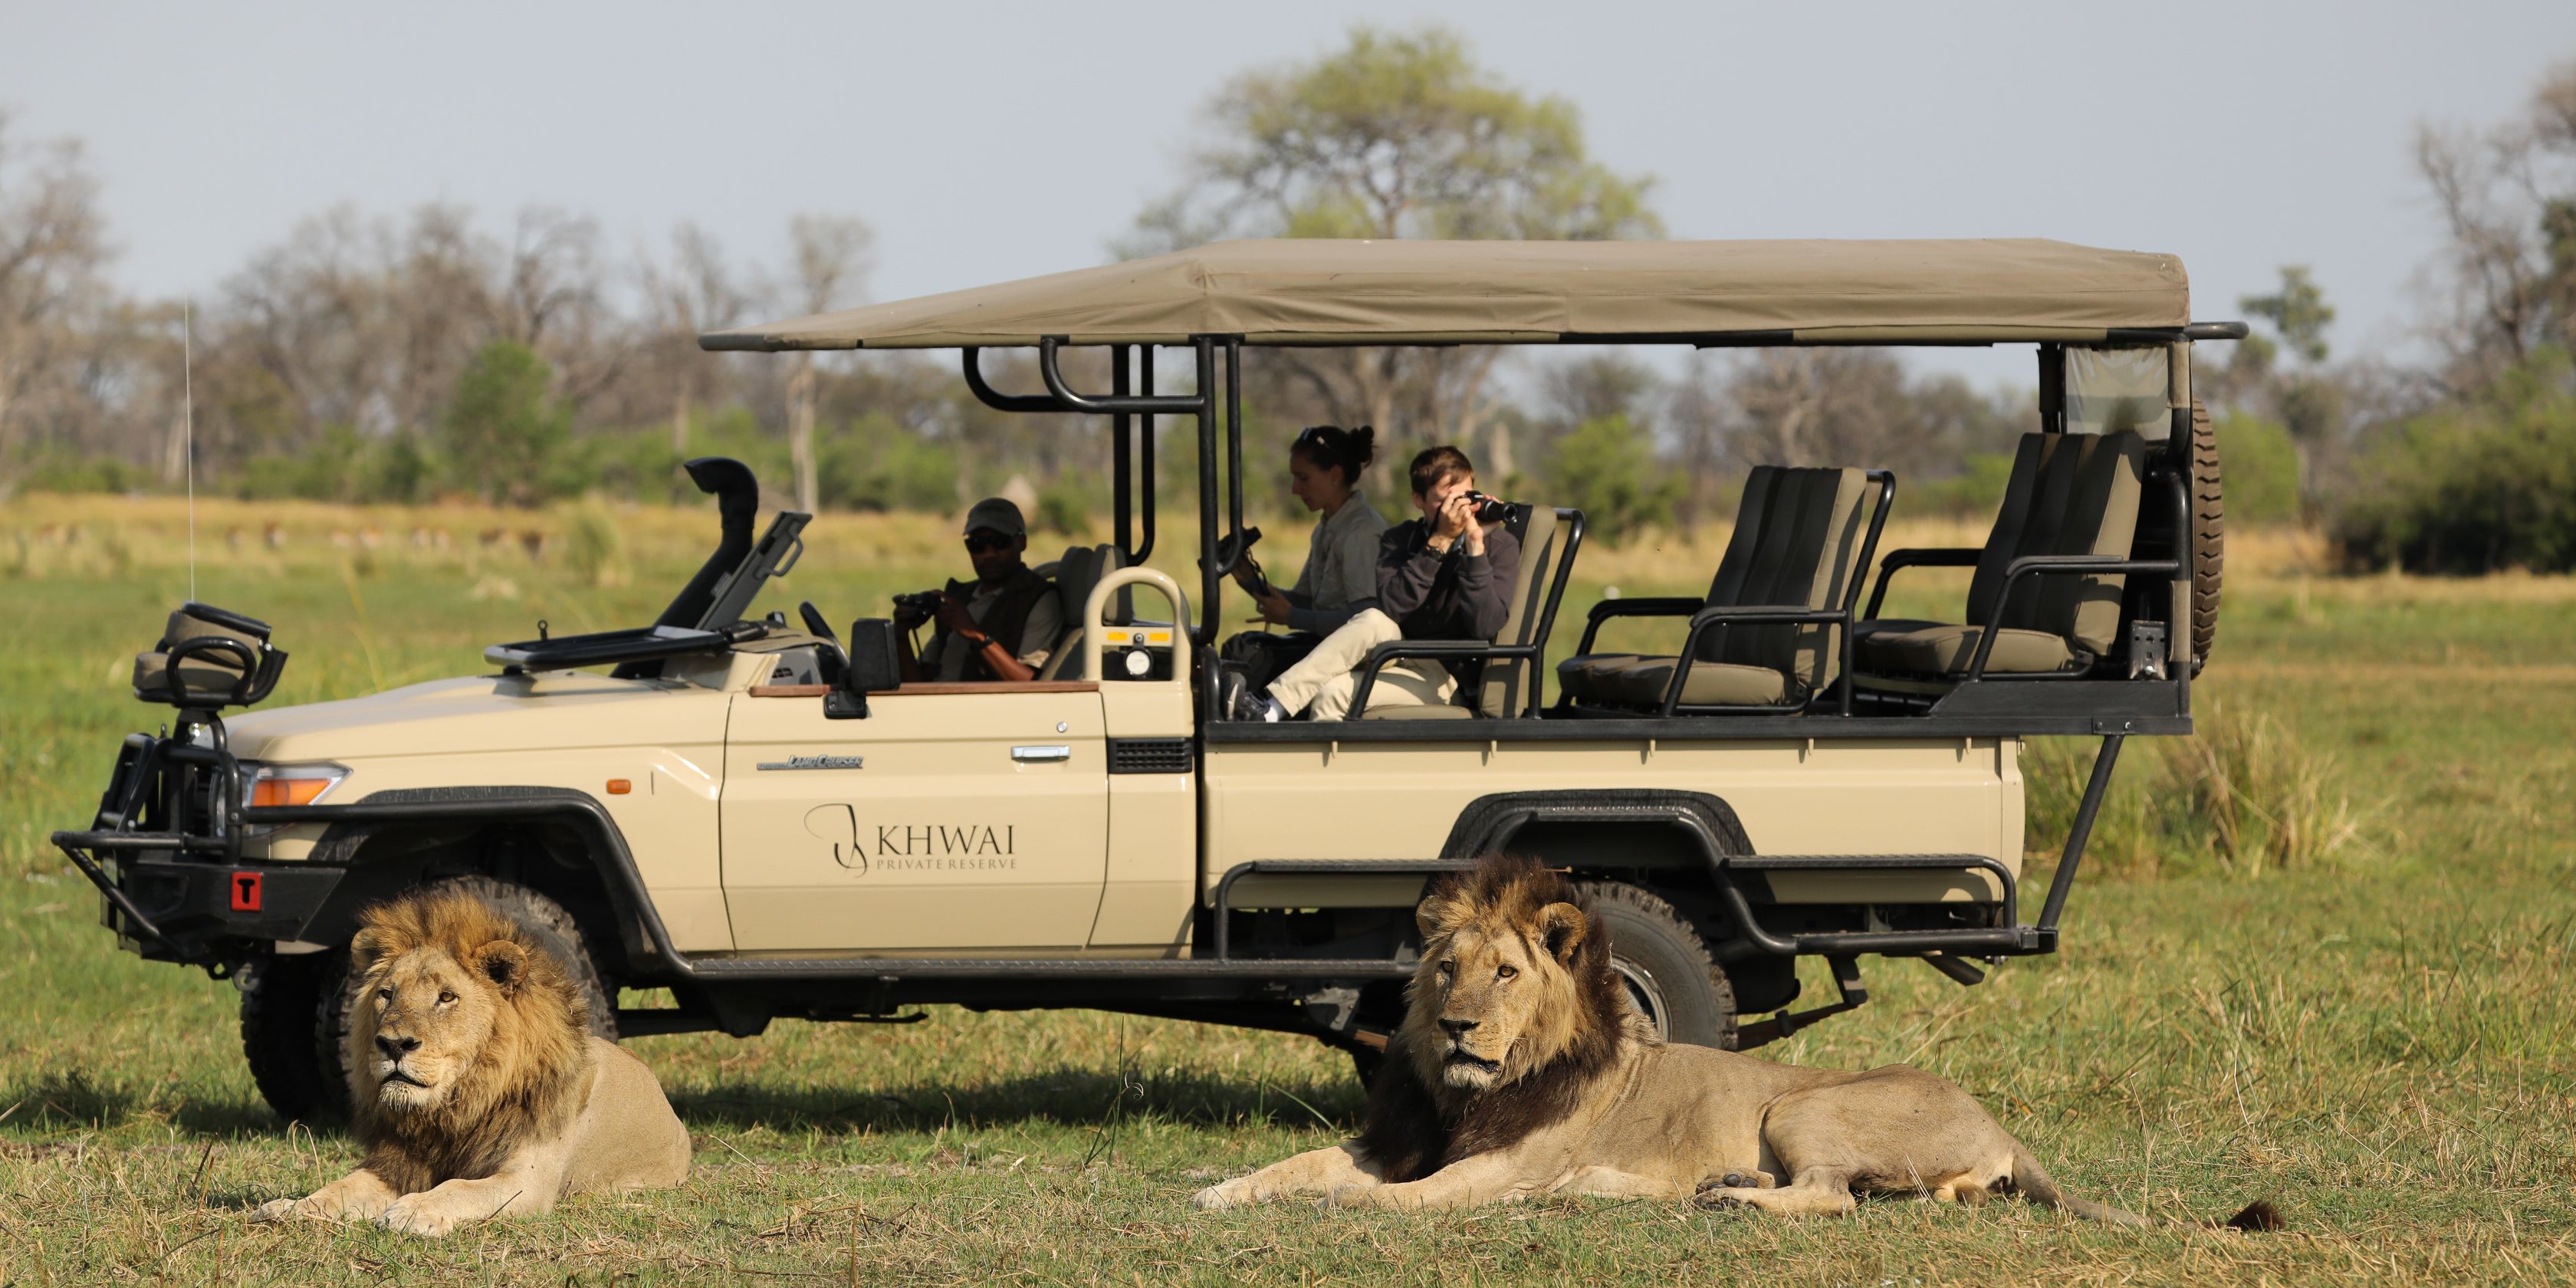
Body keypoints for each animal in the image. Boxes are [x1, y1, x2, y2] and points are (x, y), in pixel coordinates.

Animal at [254, 889, 691, 1236]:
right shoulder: (400, 1163)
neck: (458, 1107)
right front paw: (291, 1207)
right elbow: (341, 1187)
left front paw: (413, 1210)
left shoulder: (528, 1181)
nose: (393, 1044)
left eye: (446, 997)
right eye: (387, 994)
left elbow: (461, 1187)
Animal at [1196, 856, 2276, 1229]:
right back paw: (1721, 1185)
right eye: (1444, 969)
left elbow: (1381, 1194)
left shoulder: (1497, 1166)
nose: (1459, 1026)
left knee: (1833, 1197)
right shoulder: (1399, 1139)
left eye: (1505, 974)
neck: (1471, 1088)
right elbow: (1295, 1164)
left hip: (1800, 1099)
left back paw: (1729, 1201)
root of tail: (2002, 1126)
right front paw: (1216, 1191)